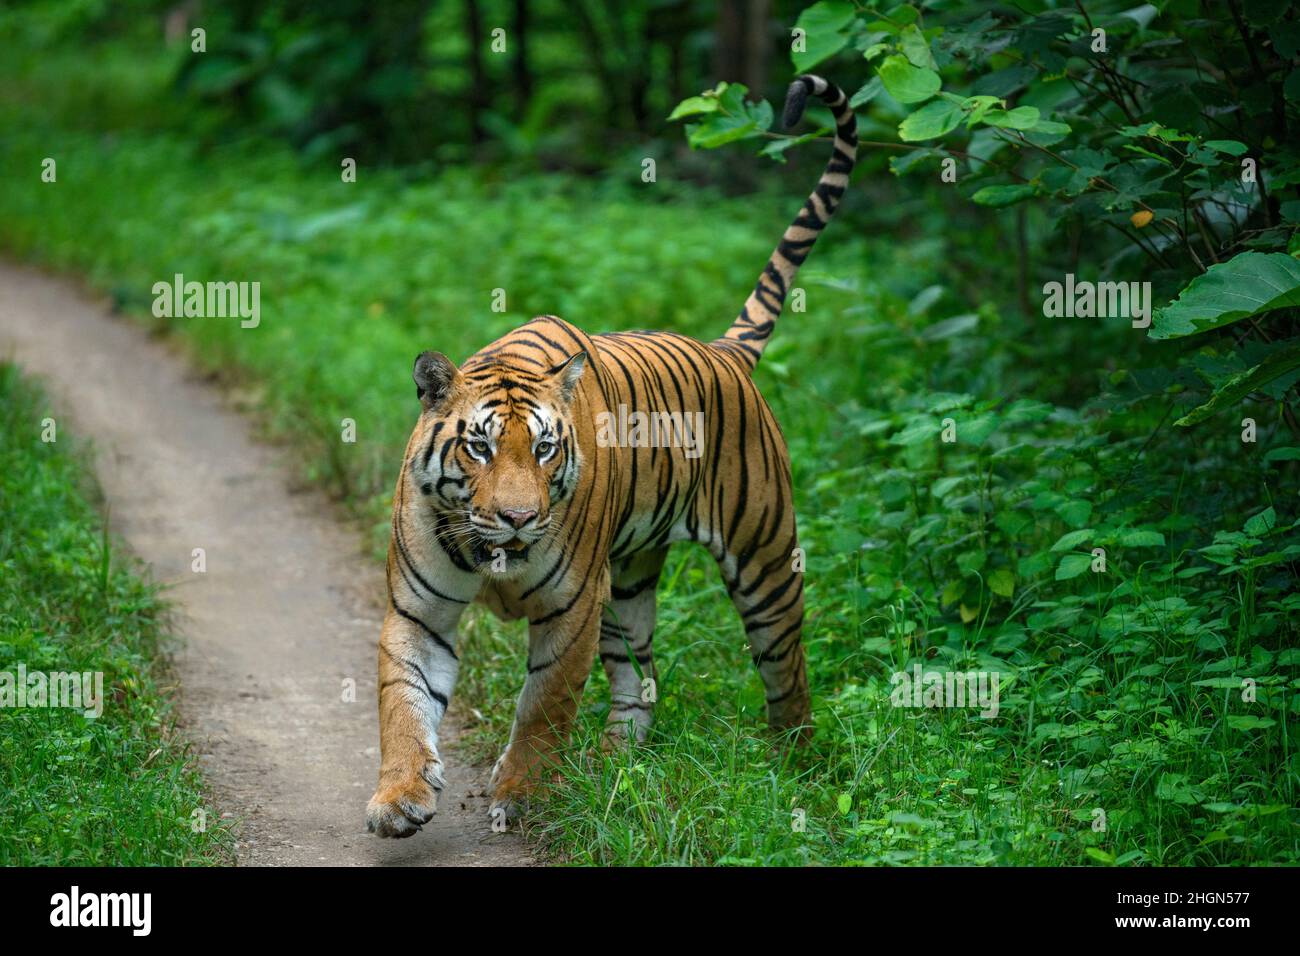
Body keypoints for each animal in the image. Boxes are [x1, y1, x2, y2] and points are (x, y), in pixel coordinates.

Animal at [369, 74, 852, 837]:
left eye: (543, 449)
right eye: (478, 447)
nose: (517, 519)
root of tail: (724, 352)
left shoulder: (572, 608)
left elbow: (544, 705)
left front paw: (522, 794)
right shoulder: (420, 610)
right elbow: (402, 704)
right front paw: (399, 798)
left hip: (766, 562)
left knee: (788, 672)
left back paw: (793, 769)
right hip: (629, 583)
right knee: (641, 676)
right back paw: (613, 762)